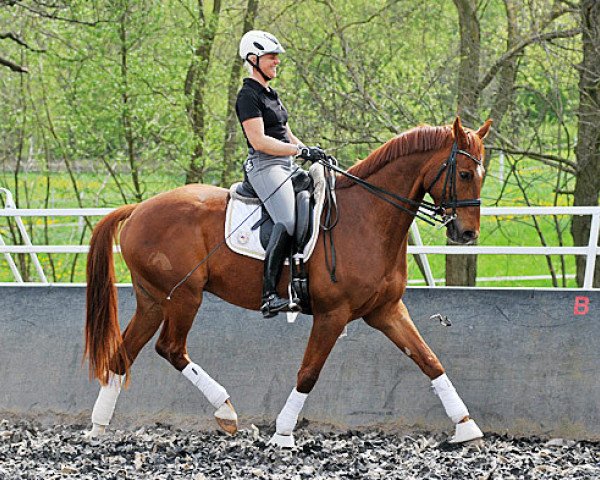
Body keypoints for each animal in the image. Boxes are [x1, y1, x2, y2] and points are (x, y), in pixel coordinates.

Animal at [84, 116, 492, 446]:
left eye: (483, 174)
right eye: (464, 174)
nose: (467, 233)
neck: (368, 217)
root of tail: (138, 209)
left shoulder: (387, 311)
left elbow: (429, 360)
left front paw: (466, 427)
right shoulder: (332, 314)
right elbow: (309, 373)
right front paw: (282, 434)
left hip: (155, 300)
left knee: (124, 353)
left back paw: (99, 426)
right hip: (184, 297)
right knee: (170, 348)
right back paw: (225, 411)